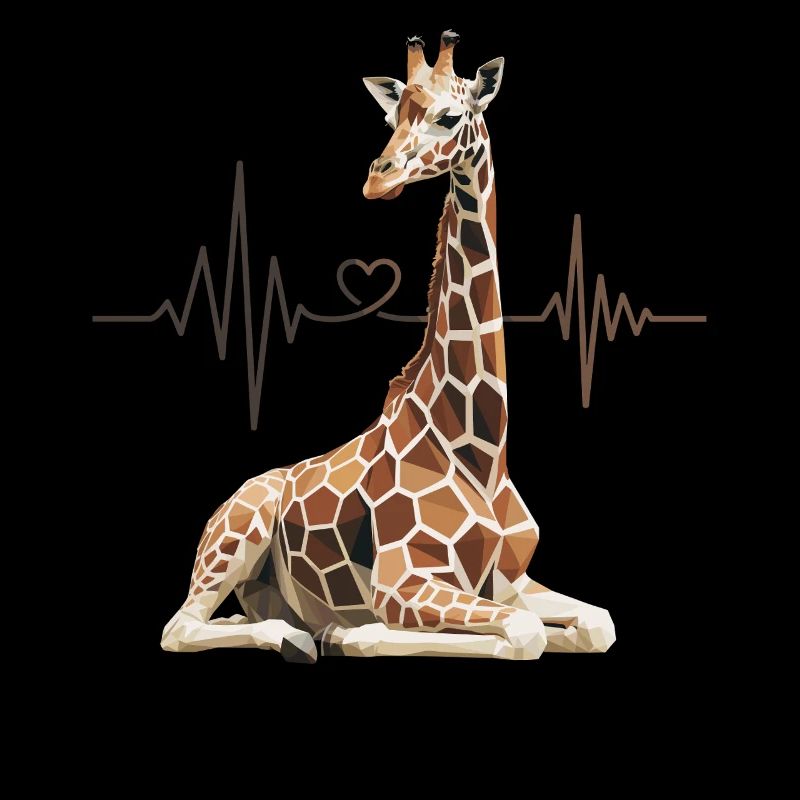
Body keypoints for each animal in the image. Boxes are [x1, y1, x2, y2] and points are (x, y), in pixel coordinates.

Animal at [161, 31, 616, 662]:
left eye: (450, 115)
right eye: (390, 115)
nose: (378, 177)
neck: (481, 453)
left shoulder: (514, 579)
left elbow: (594, 623)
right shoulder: (402, 581)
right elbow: (522, 635)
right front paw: (355, 632)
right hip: (234, 537)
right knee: (179, 627)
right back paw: (305, 635)